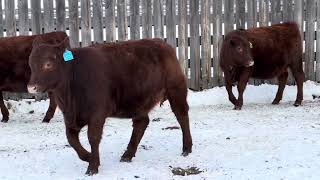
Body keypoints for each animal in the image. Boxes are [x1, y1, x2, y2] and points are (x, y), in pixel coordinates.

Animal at [27, 37, 192, 174]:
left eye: (48, 64)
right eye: (31, 65)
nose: (31, 87)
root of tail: (162, 43)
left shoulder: (97, 113)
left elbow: (93, 138)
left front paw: (93, 166)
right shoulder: (69, 116)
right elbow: (71, 139)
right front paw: (88, 157)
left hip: (176, 89)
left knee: (182, 116)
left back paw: (187, 148)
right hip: (139, 102)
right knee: (141, 123)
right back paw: (127, 154)